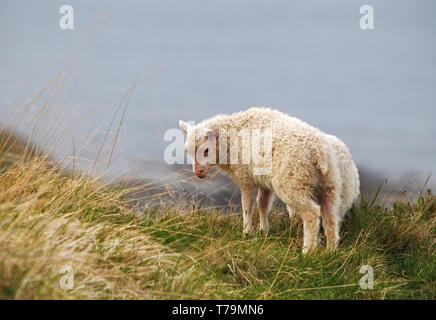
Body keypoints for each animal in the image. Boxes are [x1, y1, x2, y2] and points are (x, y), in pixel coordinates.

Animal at [180, 107, 358, 252]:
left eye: (206, 151)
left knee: (312, 213)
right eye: (187, 151)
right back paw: (330, 251)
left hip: (294, 182)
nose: (198, 173)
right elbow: (263, 204)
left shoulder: (245, 178)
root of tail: (318, 154)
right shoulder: (265, 181)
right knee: (331, 218)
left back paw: (308, 251)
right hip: (329, 185)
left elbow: (247, 206)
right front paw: (264, 231)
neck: (231, 137)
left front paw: (247, 232)